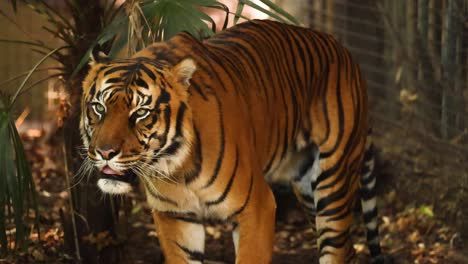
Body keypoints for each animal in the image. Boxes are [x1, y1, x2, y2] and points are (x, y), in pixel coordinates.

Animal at [79, 19, 384, 262]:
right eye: (98, 108)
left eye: (140, 113)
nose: (105, 152)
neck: (175, 167)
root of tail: (346, 52)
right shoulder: (174, 217)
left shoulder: (257, 207)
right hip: (307, 189)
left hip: (333, 184)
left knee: (338, 248)